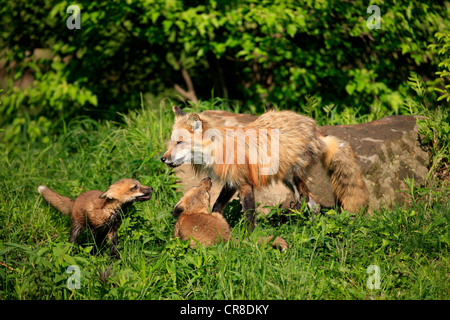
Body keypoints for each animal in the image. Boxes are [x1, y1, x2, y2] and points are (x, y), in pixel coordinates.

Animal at [162, 107, 370, 230]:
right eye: (172, 142)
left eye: (180, 142)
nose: (163, 159)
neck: (218, 149)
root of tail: (315, 128)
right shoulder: (232, 182)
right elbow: (217, 207)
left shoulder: (245, 184)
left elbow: (249, 217)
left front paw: (248, 242)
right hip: (287, 180)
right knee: (311, 204)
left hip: (294, 177)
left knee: (310, 203)